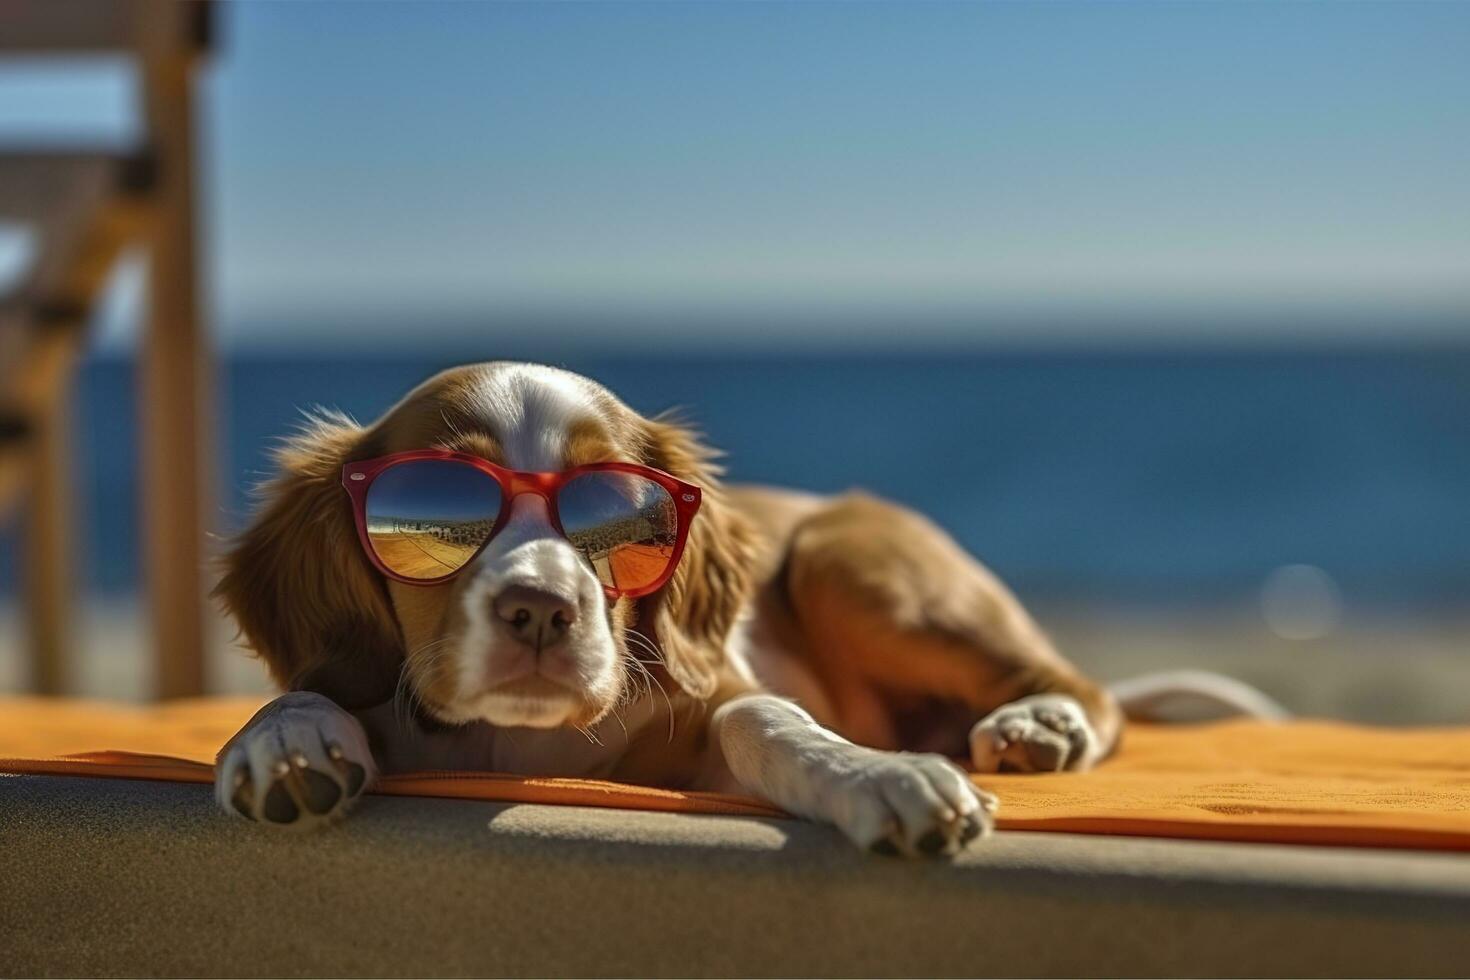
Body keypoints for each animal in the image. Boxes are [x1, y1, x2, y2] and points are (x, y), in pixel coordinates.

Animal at [213, 362, 1258, 858]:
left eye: (616, 510)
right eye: (440, 507)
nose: (543, 611)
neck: (515, 740)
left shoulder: (712, 700)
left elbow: (766, 719)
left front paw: (878, 776)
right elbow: (308, 690)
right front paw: (286, 742)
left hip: (848, 560)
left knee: (1086, 685)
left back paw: (1040, 724)